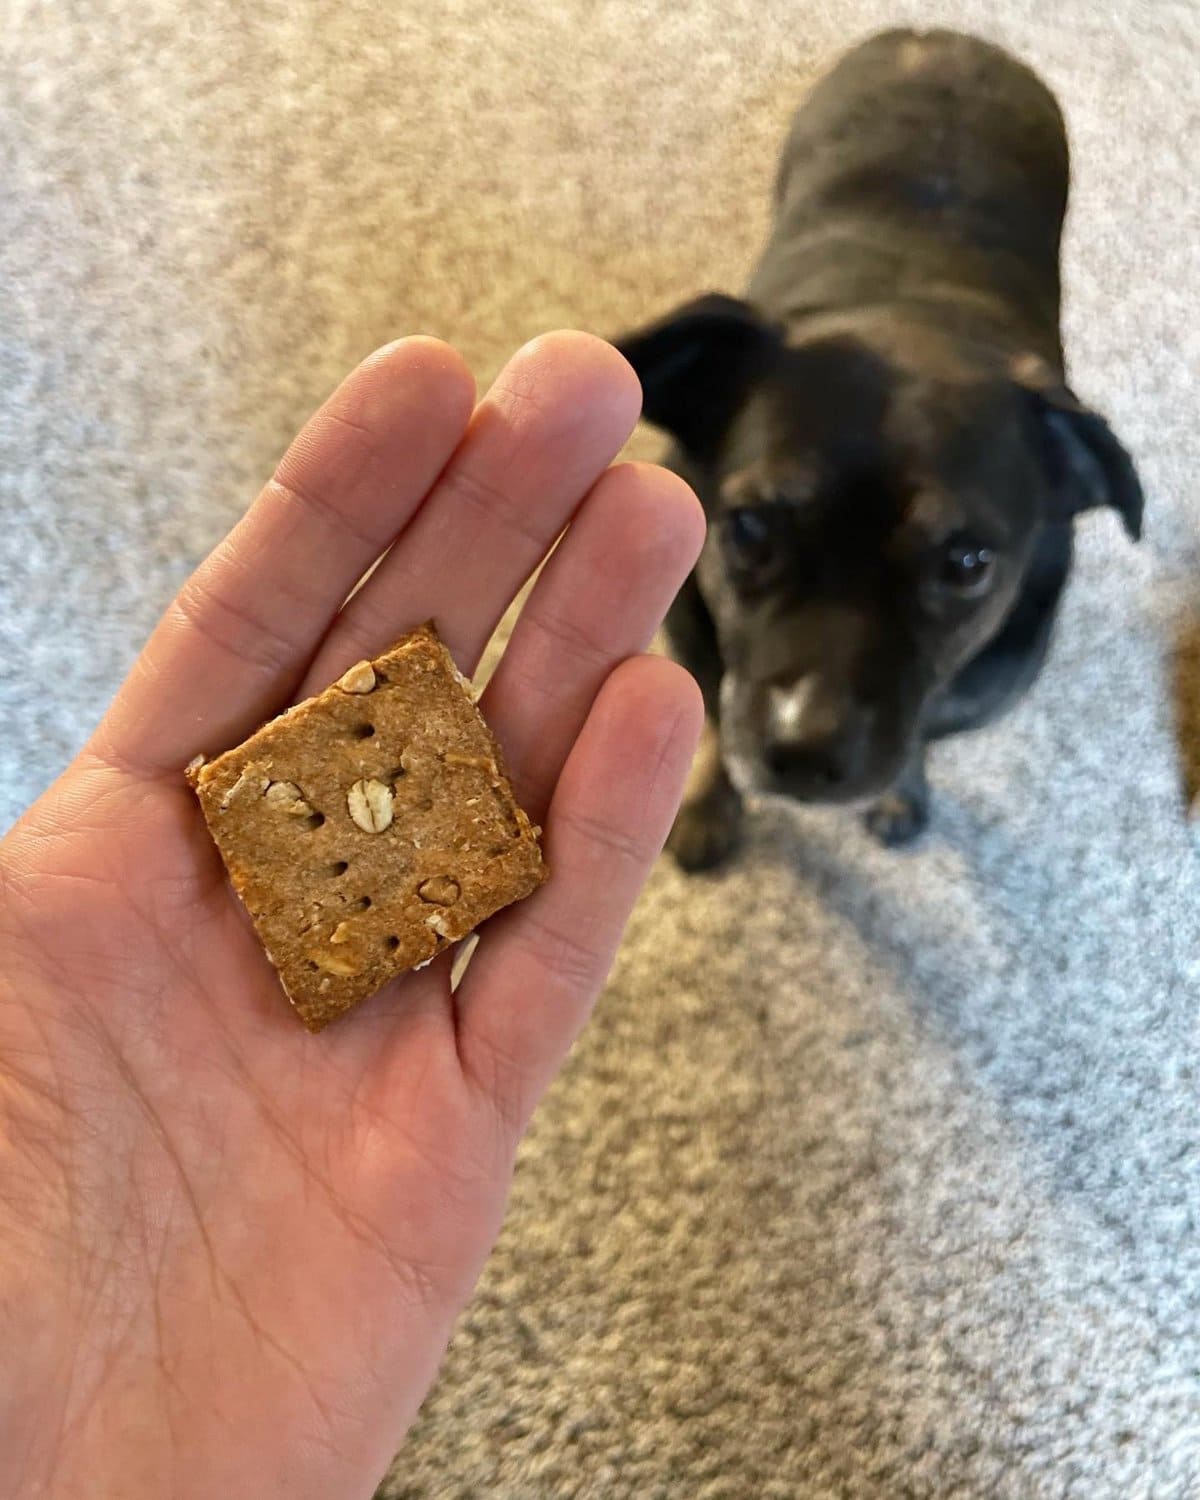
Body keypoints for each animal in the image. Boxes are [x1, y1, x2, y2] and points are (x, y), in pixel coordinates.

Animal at [618, 29, 1146, 876]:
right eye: (749, 528)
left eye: (967, 564)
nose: (804, 752)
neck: (907, 316)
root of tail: (945, 38)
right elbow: (710, 721)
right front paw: (705, 803)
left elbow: (919, 744)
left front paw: (902, 796)